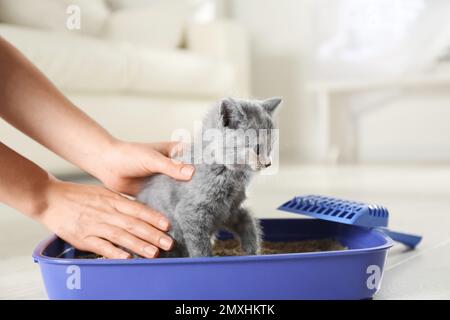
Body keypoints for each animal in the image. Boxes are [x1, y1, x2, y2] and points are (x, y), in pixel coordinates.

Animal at [137, 97, 280, 258]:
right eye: (257, 149)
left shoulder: (229, 210)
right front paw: (205, 258)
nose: (268, 163)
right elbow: (200, 247)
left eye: (270, 148)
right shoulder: (191, 213)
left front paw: (252, 250)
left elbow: (247, 219)